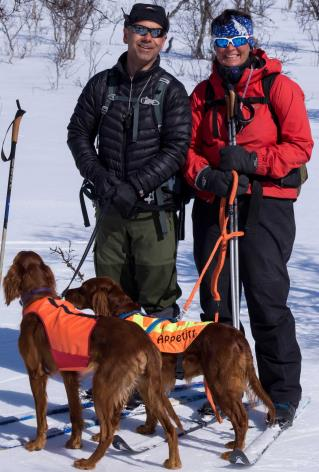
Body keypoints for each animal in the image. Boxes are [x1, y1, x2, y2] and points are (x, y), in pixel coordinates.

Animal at [3, 251, 182, 468]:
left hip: (103, 387)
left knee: (108, 431)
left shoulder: (36, 373)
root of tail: (144, 342)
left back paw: (88, 462)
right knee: (169, 427)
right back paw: (173, 462)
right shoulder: (69, 374)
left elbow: (40, 415)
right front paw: (74, 443)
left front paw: (37, 444)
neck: (40, 297)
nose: (67, 293)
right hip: (147, 388)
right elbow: (75, 413)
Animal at [66, 274, 276, 460]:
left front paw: (100, 435)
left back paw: (235, 451)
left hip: (220, 385)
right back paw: (234, 445)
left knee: (241, 419)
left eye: (83, 288)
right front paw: (148, 429)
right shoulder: (145, 381)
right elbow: (150, 408)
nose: (67, 292)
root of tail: (237, 336)